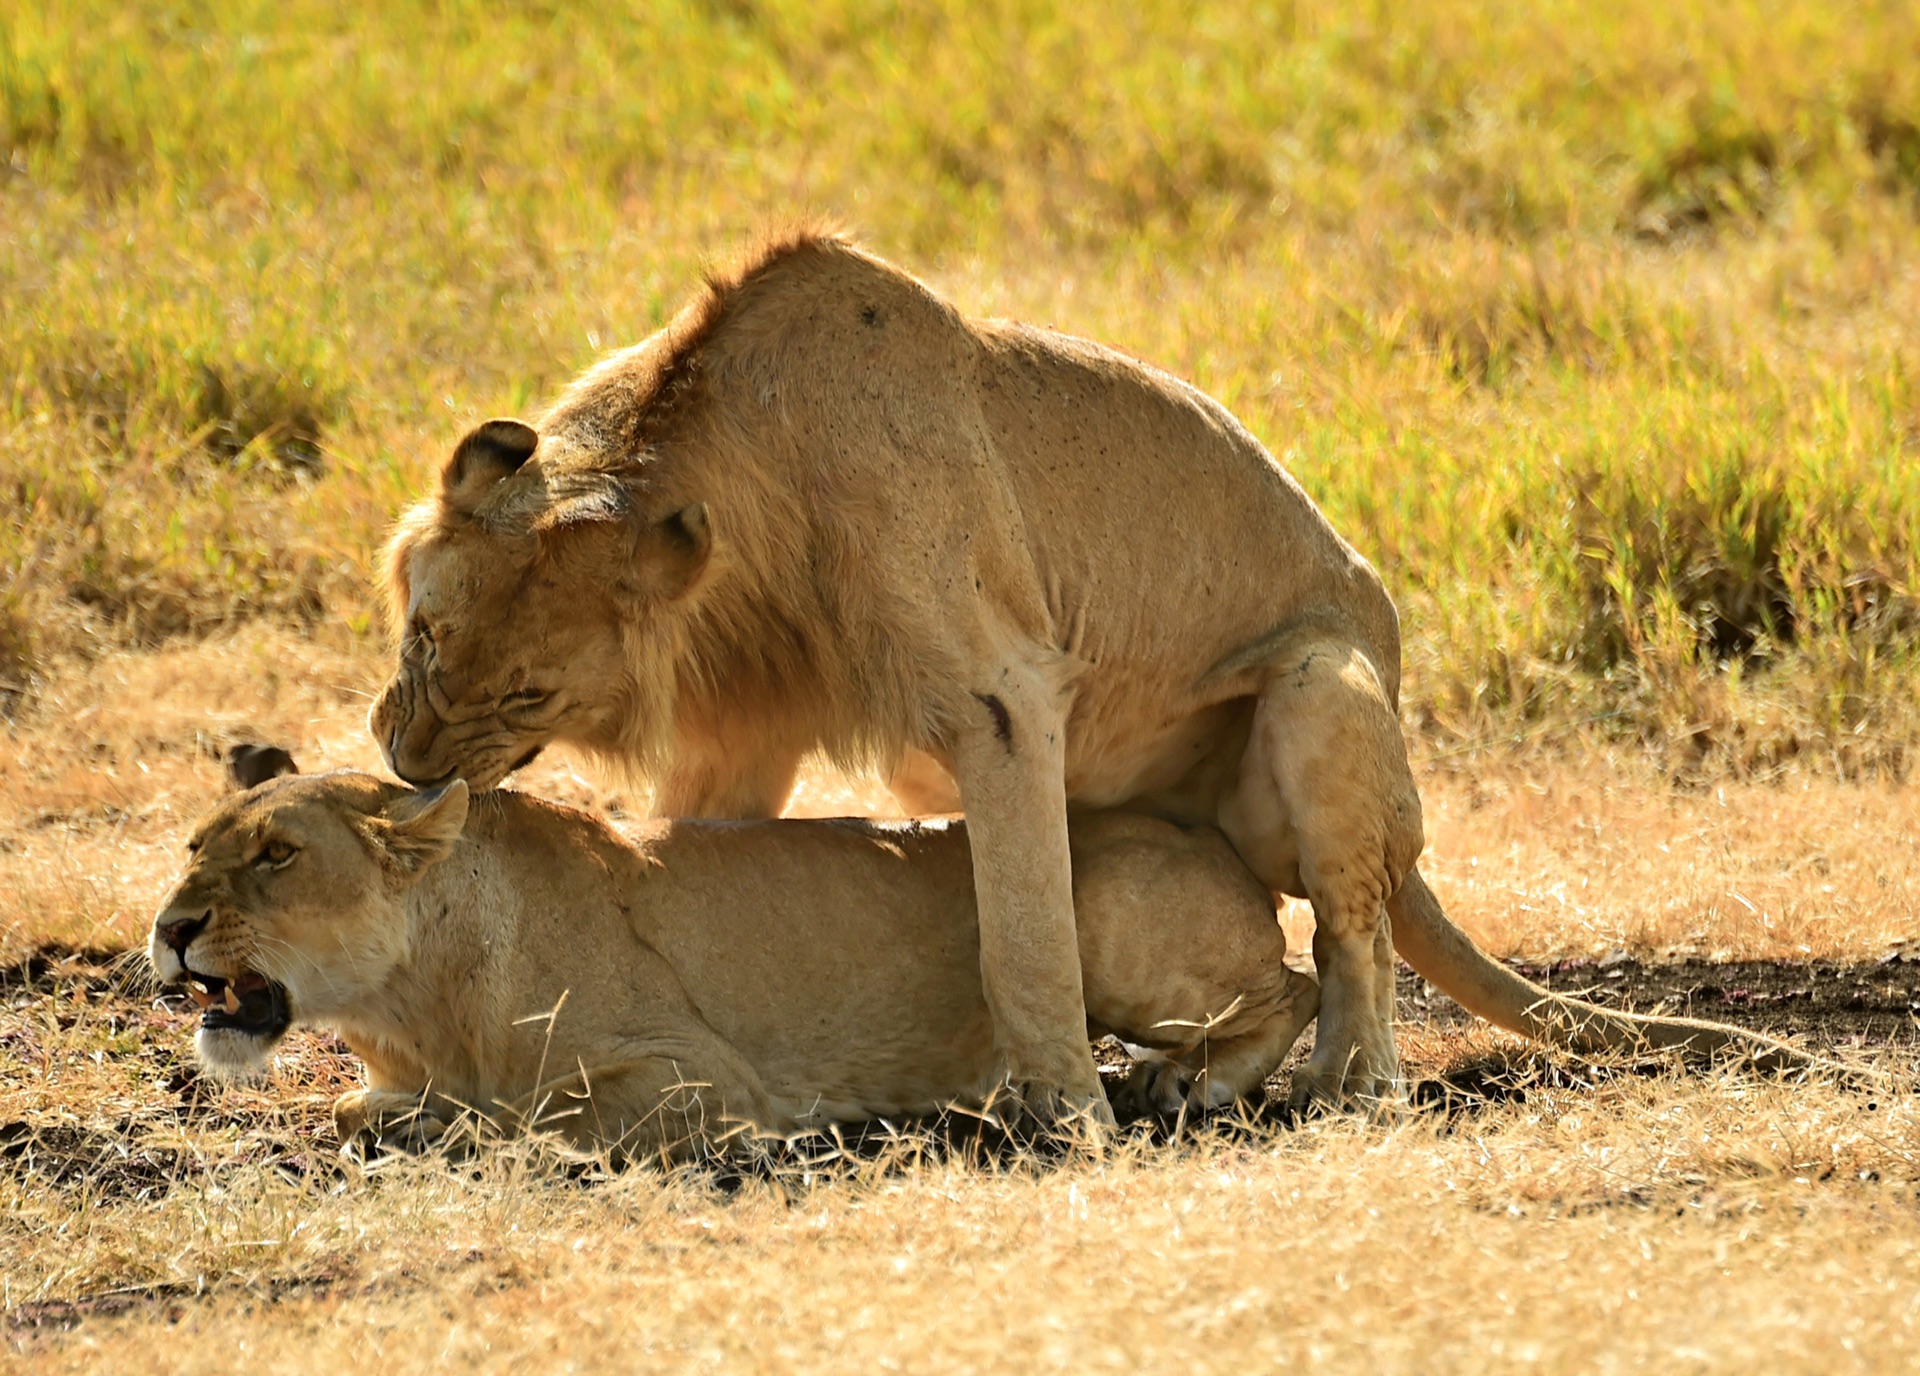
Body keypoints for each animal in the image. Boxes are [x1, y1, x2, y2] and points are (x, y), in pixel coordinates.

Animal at [149, 756, 1328, 1151]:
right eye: (195, 848)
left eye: (278, 854)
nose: (169, 928)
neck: (413, 1004)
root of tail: (1210, 830)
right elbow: (361, 1108)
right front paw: (406, 1118)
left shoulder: (701, 1077)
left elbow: (538, 1115)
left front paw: (456, 1126)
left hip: (1094, 909)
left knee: (1305, 980)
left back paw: (1184, 1081)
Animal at [370, 231, 1812, 1113]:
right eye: (425, 637)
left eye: (524, 696)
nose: (402, 760)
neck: (723, 466)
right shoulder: (747, 728)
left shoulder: (1004, 693)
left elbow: (1025, 938)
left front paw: (1062, 1113)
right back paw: (1202, 1078)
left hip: (1322, 682)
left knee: (1347, 938)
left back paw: (1340, 1083)